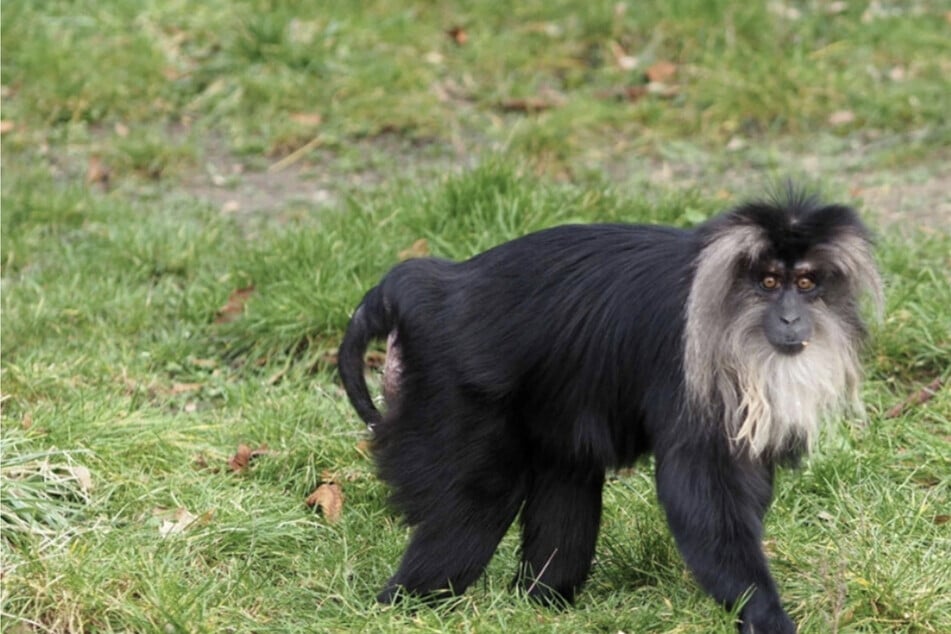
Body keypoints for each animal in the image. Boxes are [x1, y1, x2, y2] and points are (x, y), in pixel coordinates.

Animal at [336, 185, 884, 628]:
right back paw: (405, 604)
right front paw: (765, 613)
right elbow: (698, 493)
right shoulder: (687, 368)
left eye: (806, 283)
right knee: (480, 499)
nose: (792, 318)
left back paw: (540, 602)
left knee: (568, 475)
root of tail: (429, 287)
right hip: (448, 385)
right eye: (769, 283)